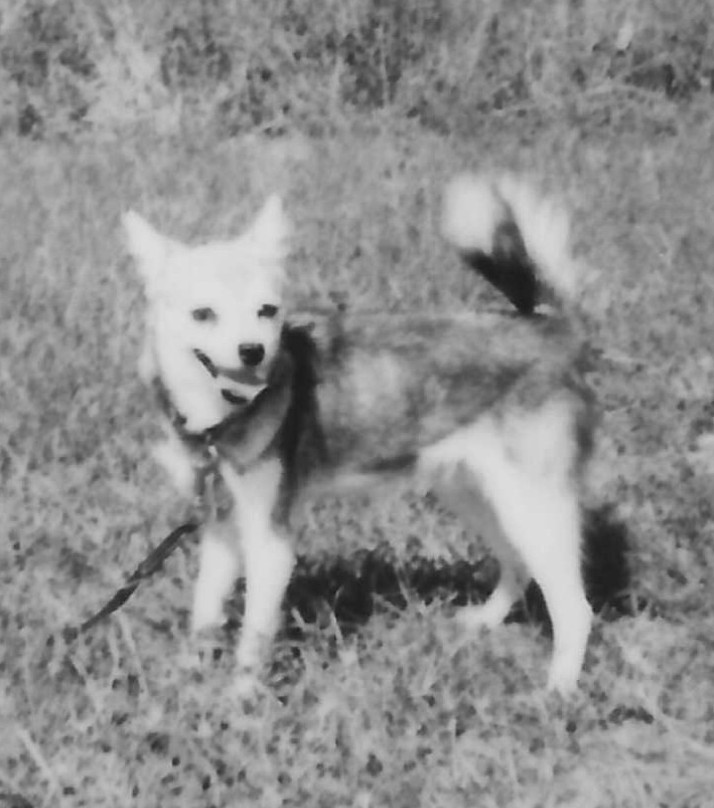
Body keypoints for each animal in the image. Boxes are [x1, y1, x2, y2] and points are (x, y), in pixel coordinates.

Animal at [123, 173, 596, 694]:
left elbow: (253, 634)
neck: (220, 420)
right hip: (475, 492)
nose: (253, 352)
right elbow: (204, 611)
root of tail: (549, 329)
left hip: (532, 504)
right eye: (203, 314)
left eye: (267, 310)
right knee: (517, 563)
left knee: (575, 609)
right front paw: (189, 675)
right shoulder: (221, 529)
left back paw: (558, 690)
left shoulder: (270, 539)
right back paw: (486, 622)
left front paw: (241, 697)